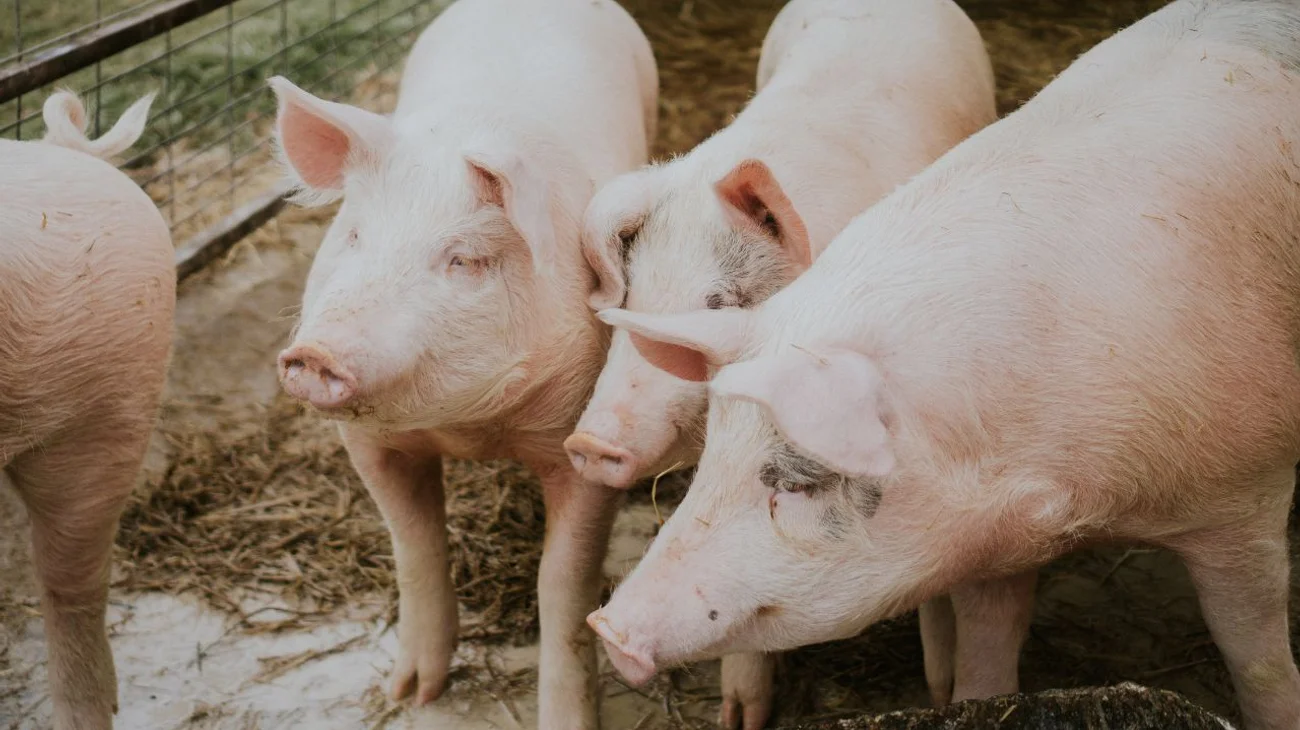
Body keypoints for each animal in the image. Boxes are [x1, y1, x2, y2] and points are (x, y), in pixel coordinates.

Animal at [269, 0, 657, 726]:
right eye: (353, 235)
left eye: (464, 260)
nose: (314, 352)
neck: (470, 428)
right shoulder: (368, 443)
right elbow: (414, 546)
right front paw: (410, 694)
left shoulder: (588, 442)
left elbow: (564, 585)